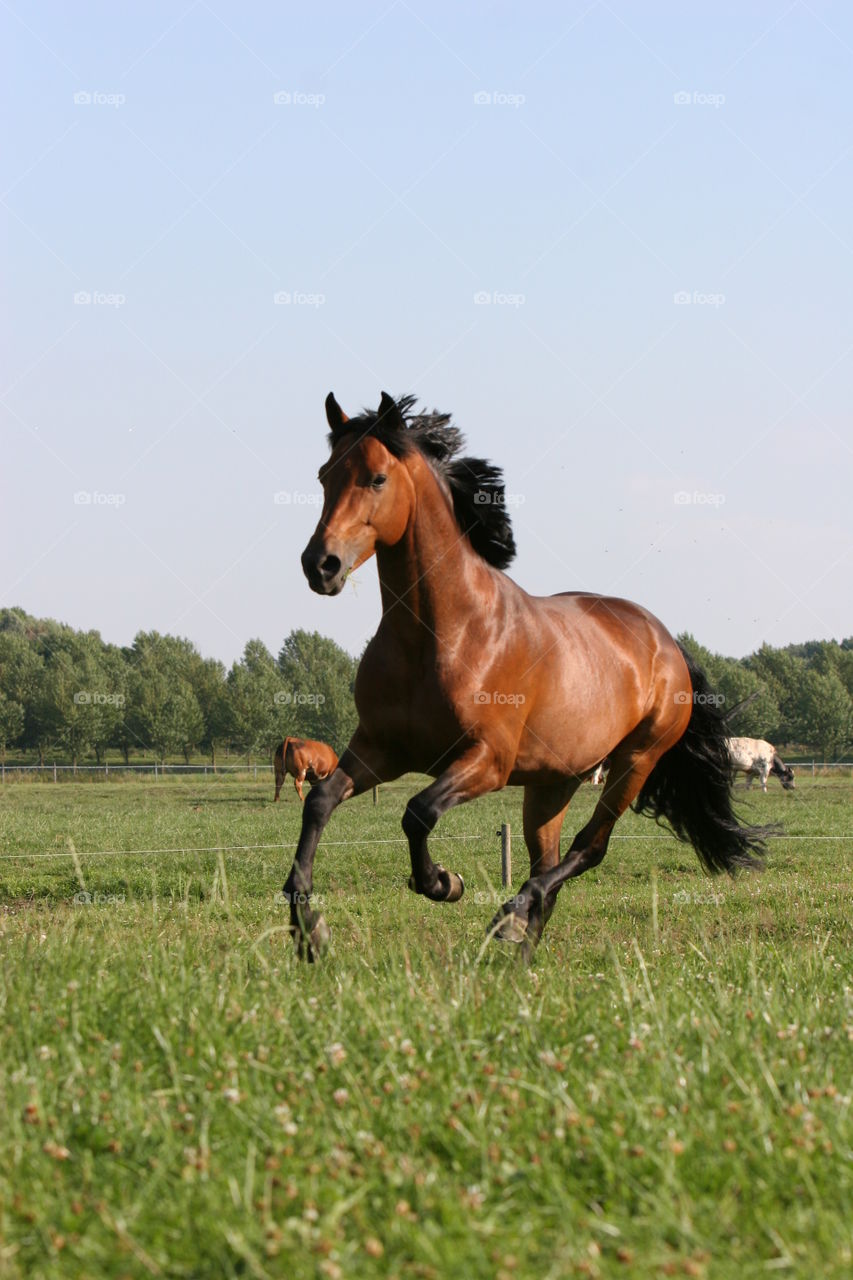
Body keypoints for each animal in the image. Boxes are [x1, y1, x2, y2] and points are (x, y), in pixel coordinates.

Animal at [284, 391, 767, 961]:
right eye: (324, 475)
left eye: (377, 478)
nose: (321, 565)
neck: (442, 635)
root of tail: (666, 641)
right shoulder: (380, 750)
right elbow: (319, 803)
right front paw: (307, 927)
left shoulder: (487, 761)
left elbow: (418, 811)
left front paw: (444, 883)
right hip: (553, 783)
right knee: (549, 863)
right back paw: (520, 957)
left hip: (635, 762)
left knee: (588, 849)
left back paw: (509, 917)